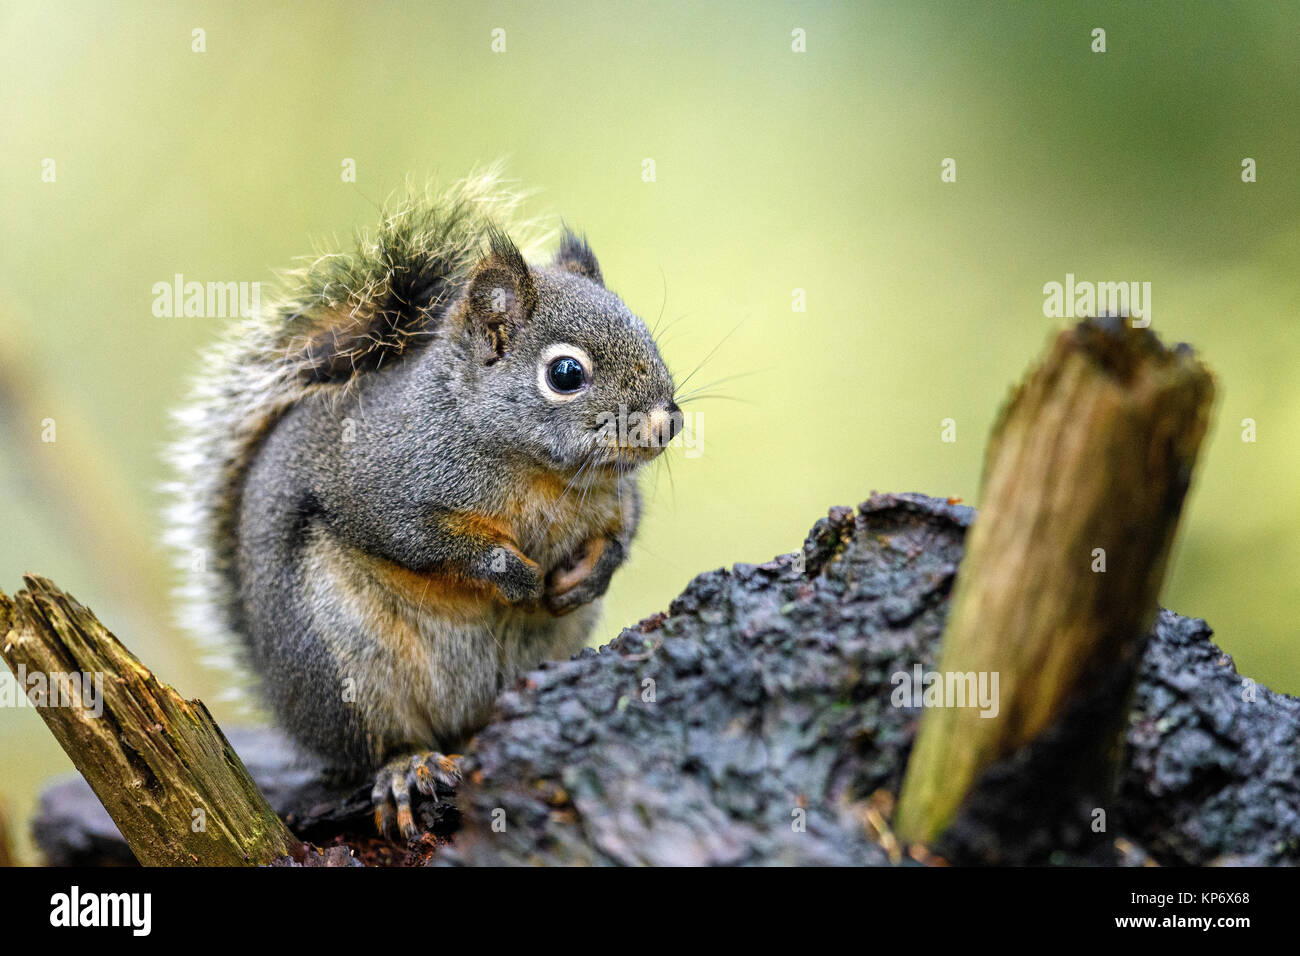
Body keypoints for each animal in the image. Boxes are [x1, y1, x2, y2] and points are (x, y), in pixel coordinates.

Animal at [166, 169, 680, 840]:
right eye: (566, 374)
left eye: (648, 335)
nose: (668, 422)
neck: (539, 472)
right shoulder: (380, 481)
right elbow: (417, 539)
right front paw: (511, 573)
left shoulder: (617, 502)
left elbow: (623, 534)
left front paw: (589, 574)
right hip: (344, 668)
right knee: (379, 744)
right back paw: (406, 767)